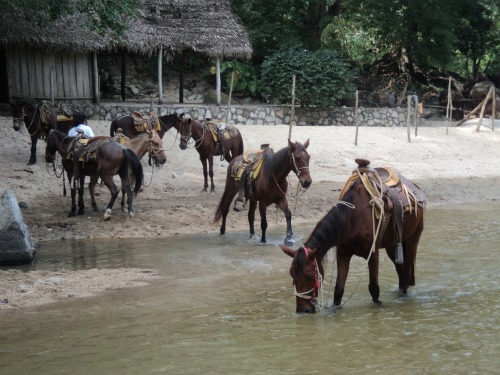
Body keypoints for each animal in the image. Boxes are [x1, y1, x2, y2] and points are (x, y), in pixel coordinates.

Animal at [280, 160, 424, 316]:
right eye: (292, 275)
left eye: (309, 276)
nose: (302, 310)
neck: (350, 218)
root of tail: (414, 186)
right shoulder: (343, 253)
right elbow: (338, 290)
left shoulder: (373, 254)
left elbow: (374, 289)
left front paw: (378, 308)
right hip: (392, 245)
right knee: (400, 270)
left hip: (413, 239)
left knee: (406, 273)